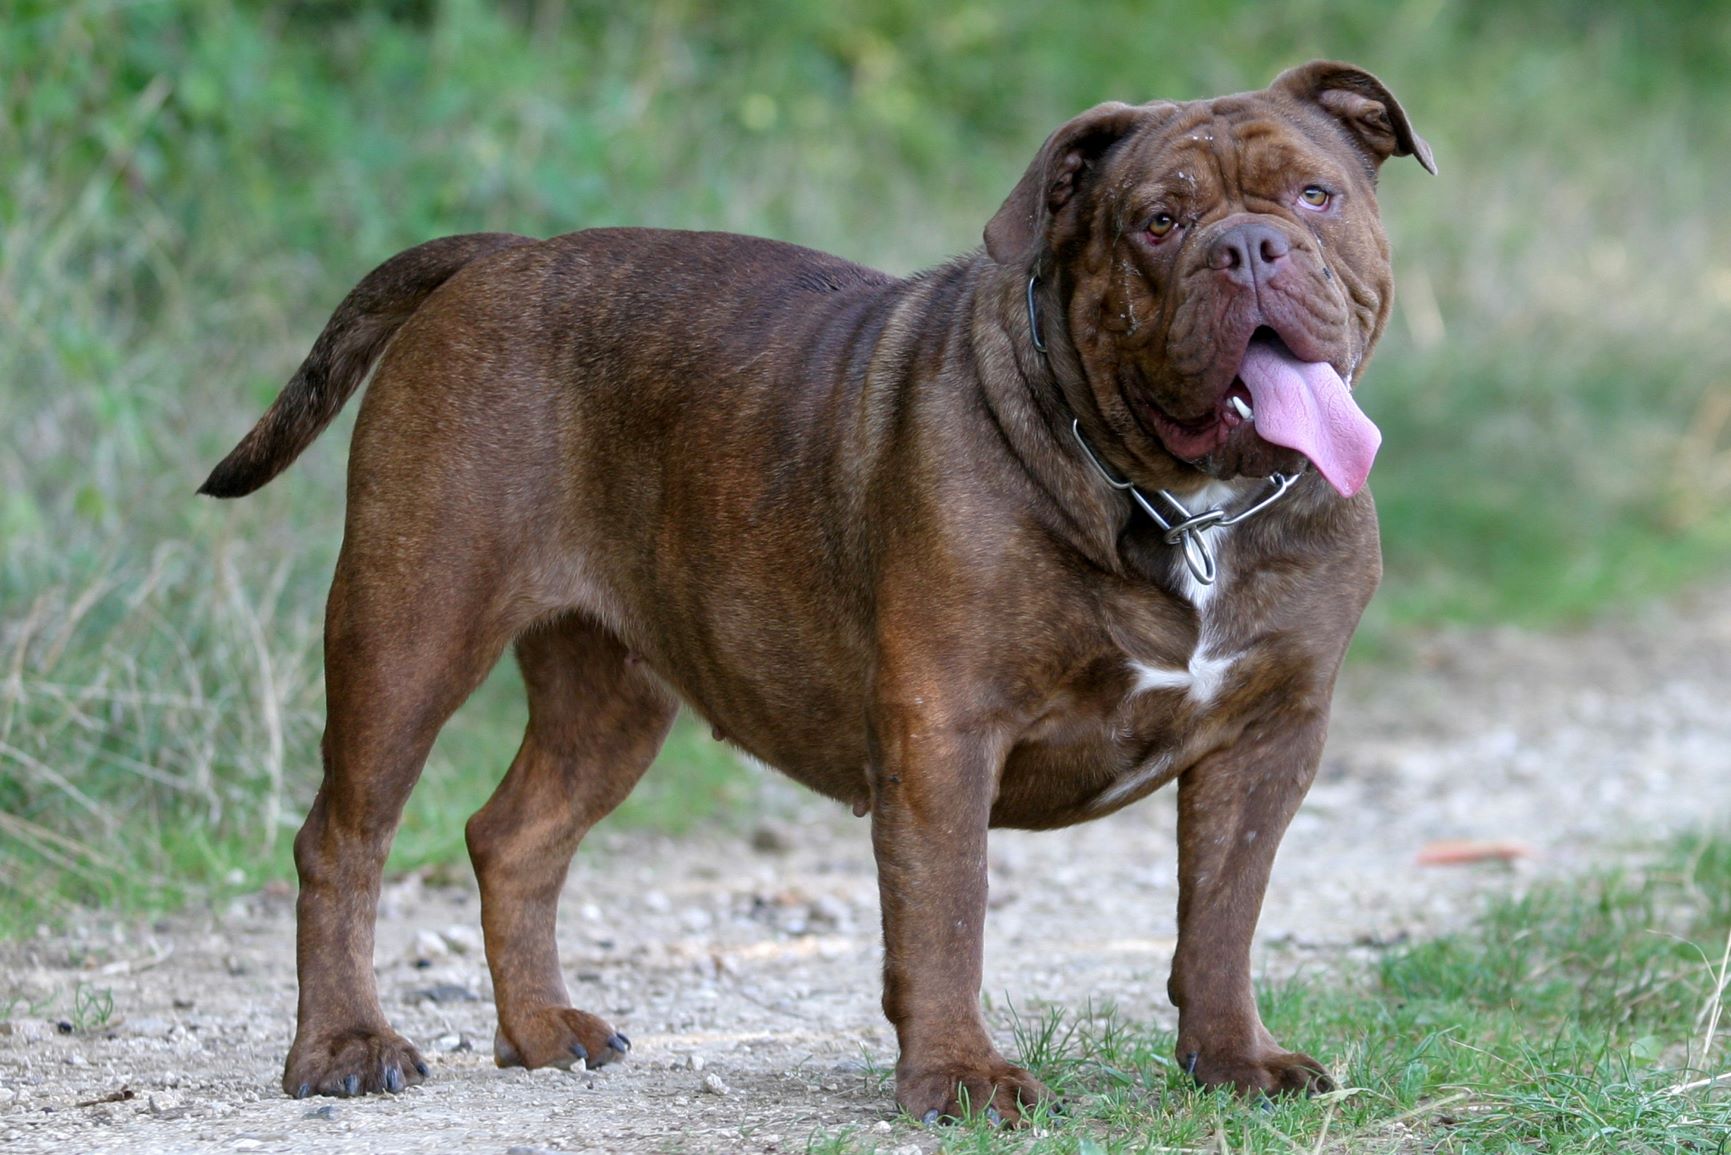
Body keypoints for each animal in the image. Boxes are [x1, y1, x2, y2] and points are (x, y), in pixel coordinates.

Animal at [199, 61, 1433, 1122]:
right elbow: (947, 912)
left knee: (515, 836)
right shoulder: (945, 729)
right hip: (409, 632)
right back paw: (343, 1047)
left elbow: (1221, 917)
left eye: (1315, 194)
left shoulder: (1269, 736)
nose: (1250, 247)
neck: (1184, 505)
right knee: (342, 841)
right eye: (1158, 223)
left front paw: (1232, 1060)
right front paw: (960, 1075)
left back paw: (542, 1029)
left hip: (612, 697)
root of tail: (498, 258)